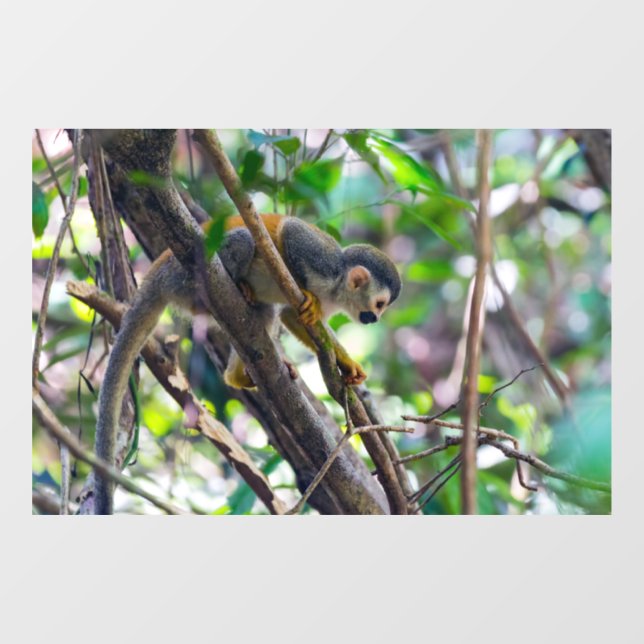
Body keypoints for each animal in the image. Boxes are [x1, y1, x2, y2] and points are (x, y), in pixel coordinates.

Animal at [92, 213, 401, 513]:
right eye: (379, 304)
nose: (376, 319)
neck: (336, 289)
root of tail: (158, 269)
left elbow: (292, 316)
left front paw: (347, 363)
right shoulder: (323, 260)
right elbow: (291, 232)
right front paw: (303, 287)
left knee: (262, 314)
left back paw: (237, 376)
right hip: (182, 274)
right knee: (242, 240)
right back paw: (233, 287)